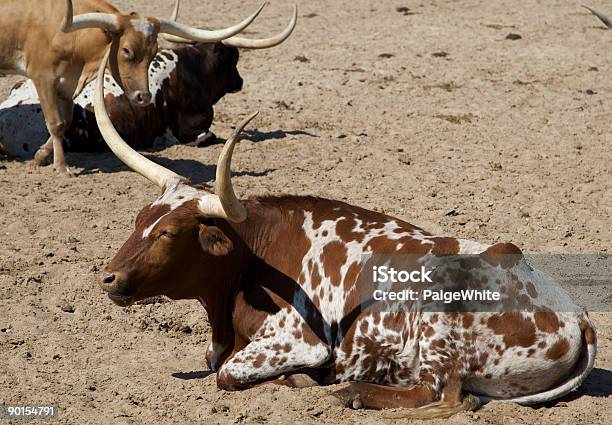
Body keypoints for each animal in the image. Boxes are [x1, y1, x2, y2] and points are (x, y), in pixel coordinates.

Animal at [0, 0, 264, 176]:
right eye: (126, 50)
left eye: (154, 50)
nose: (143, 96)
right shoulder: (43, 76)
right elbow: (55, 122)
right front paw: (62, 167)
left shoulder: (67, 82)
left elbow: (64, 120)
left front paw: (42, 156)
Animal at [92, 50, 596, 418]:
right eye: (139, 219)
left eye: (170, 233)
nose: (108, 278)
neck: (253, 258)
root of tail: (578, 316)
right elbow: (214, 363)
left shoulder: (297, 341)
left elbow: (227, 373)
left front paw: (301, 379)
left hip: (440, 323)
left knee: (446, 394)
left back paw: (355, 392)